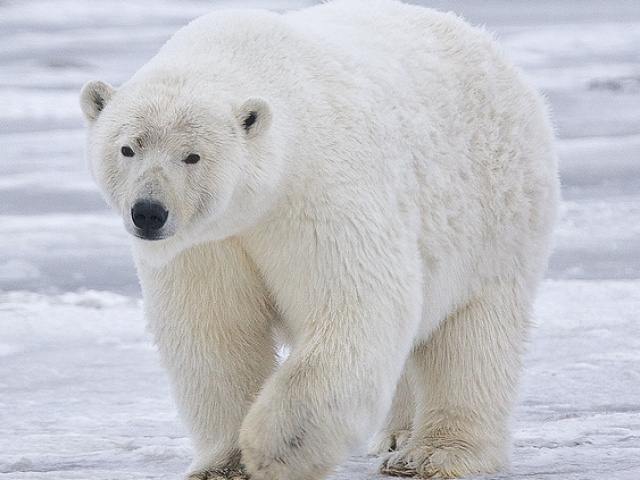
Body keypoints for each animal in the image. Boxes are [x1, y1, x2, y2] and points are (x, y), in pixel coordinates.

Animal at [81, 0, 560, 480]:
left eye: (192, 155)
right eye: (128, 148)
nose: (148, 212)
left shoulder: (320, 191)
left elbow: (355, 305)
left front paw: (275, 449)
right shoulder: (206, 243)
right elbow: (214, 330)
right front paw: (223, 464)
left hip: (496, 214)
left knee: (473, 338)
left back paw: (433, 454)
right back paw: (397, 434)